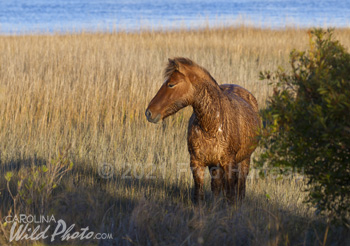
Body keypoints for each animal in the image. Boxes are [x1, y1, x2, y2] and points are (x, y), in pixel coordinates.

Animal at [145, 57, 260, 202]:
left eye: (171, 84)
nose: (149, 112)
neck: (211, 126)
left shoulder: (229, 164)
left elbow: (230, 196)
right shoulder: (197, 163)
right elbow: (199, 195)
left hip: (245, 160)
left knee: (240, 186)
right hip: (215, 166)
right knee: (217, 187)